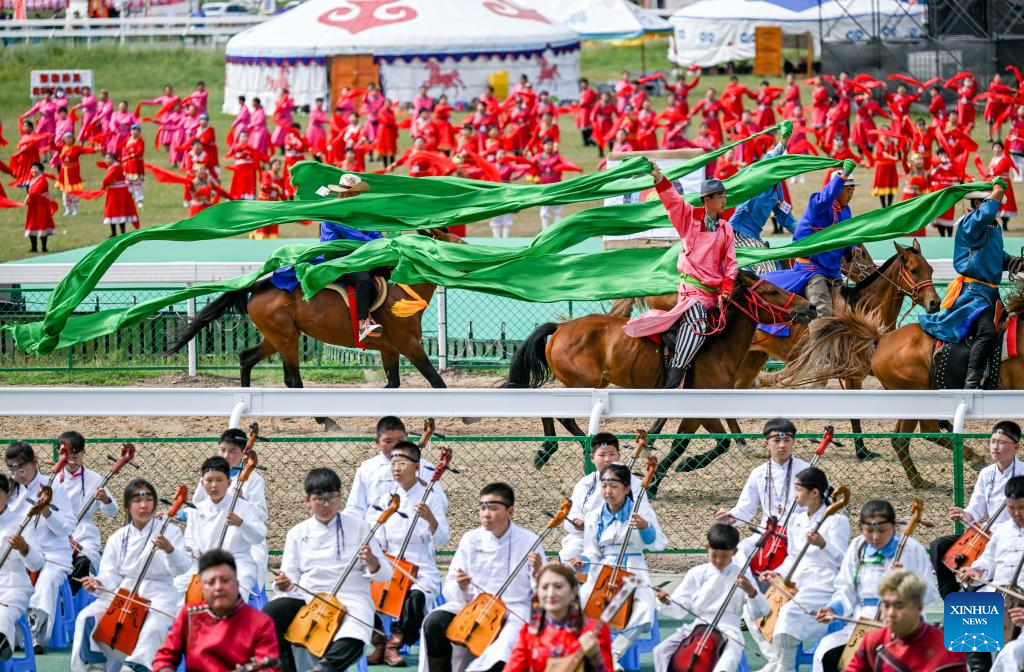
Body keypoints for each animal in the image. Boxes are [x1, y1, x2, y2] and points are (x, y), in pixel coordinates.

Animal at [169, 231, 466, 428]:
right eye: (445, 239)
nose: (465, 245)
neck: (401, 291)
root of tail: (260, 284)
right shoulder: (409, 344)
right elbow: (436, 381)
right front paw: (464, 414)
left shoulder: (389, 349)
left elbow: (393, 384)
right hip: (287, 338)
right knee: (293, 381)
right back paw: (325, 419)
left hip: (276, 337)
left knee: (247, 358)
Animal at [503, 270, 815, 495]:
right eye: (773, 291)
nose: (810, 307)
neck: (717, 345)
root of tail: (561, 327)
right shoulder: (701, 407)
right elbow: (704, 443)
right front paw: (679, 470)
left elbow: (692, 443)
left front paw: (660, 478)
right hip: (581, 383)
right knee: (562, 414)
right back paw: (551, 451)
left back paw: (552, 450)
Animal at [606, 241, 942, 456]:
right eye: (914, 269)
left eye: (929, 268)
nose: (934, 303)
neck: (861, 311)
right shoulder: (853, 371)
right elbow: (855, 410)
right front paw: (862, 450)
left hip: (751, 358)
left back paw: (742, 443)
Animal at [774, 280, 1024, 485]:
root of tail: (882, 339)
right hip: (918, 393)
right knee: (926, 432)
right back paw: (971, 459)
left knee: (900, 439)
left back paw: (919, 481)